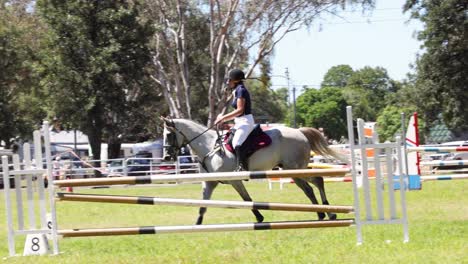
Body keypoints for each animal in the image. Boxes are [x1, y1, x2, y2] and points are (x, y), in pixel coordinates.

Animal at [162, 117, 344, 225]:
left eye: (169, 135)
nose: (166, 157)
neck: (209, 147)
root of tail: (299, 132)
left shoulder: (235, 180)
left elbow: (246, 199)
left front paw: (260, 217)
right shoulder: (209, 183)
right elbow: (203, 205)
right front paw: (197, 225)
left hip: (294, 169)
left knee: (312, 185)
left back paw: (325, 214)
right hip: (295, 169)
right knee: (315, 183)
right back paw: (325, 214)